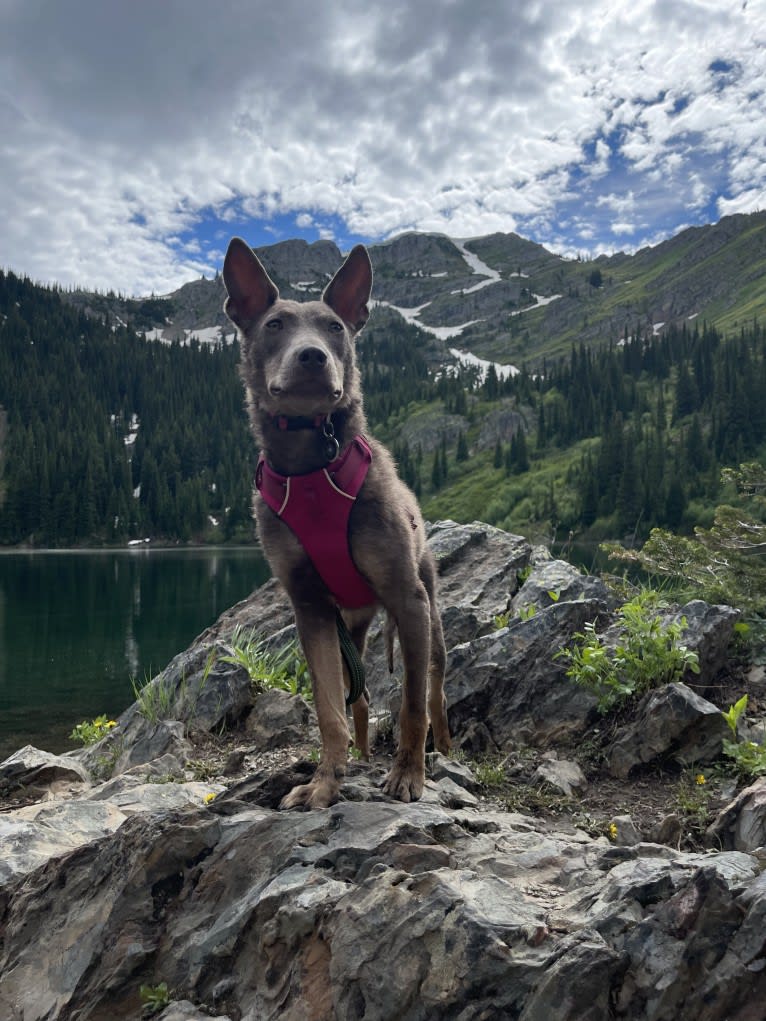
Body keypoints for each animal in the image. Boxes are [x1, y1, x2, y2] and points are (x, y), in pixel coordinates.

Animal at [221, 236, 449, 804]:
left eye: (335, 328)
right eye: (275, 325)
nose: (312, 356)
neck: (312, 469)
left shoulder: (407, 599)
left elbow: (411, 704)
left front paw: (408, 775)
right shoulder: (311, 607)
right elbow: (329, 709)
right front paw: (325, 782)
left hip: (430, 610)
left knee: (435, 690)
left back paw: (442, 750)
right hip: (354, 625)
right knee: (359, 697)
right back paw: (361, 757)